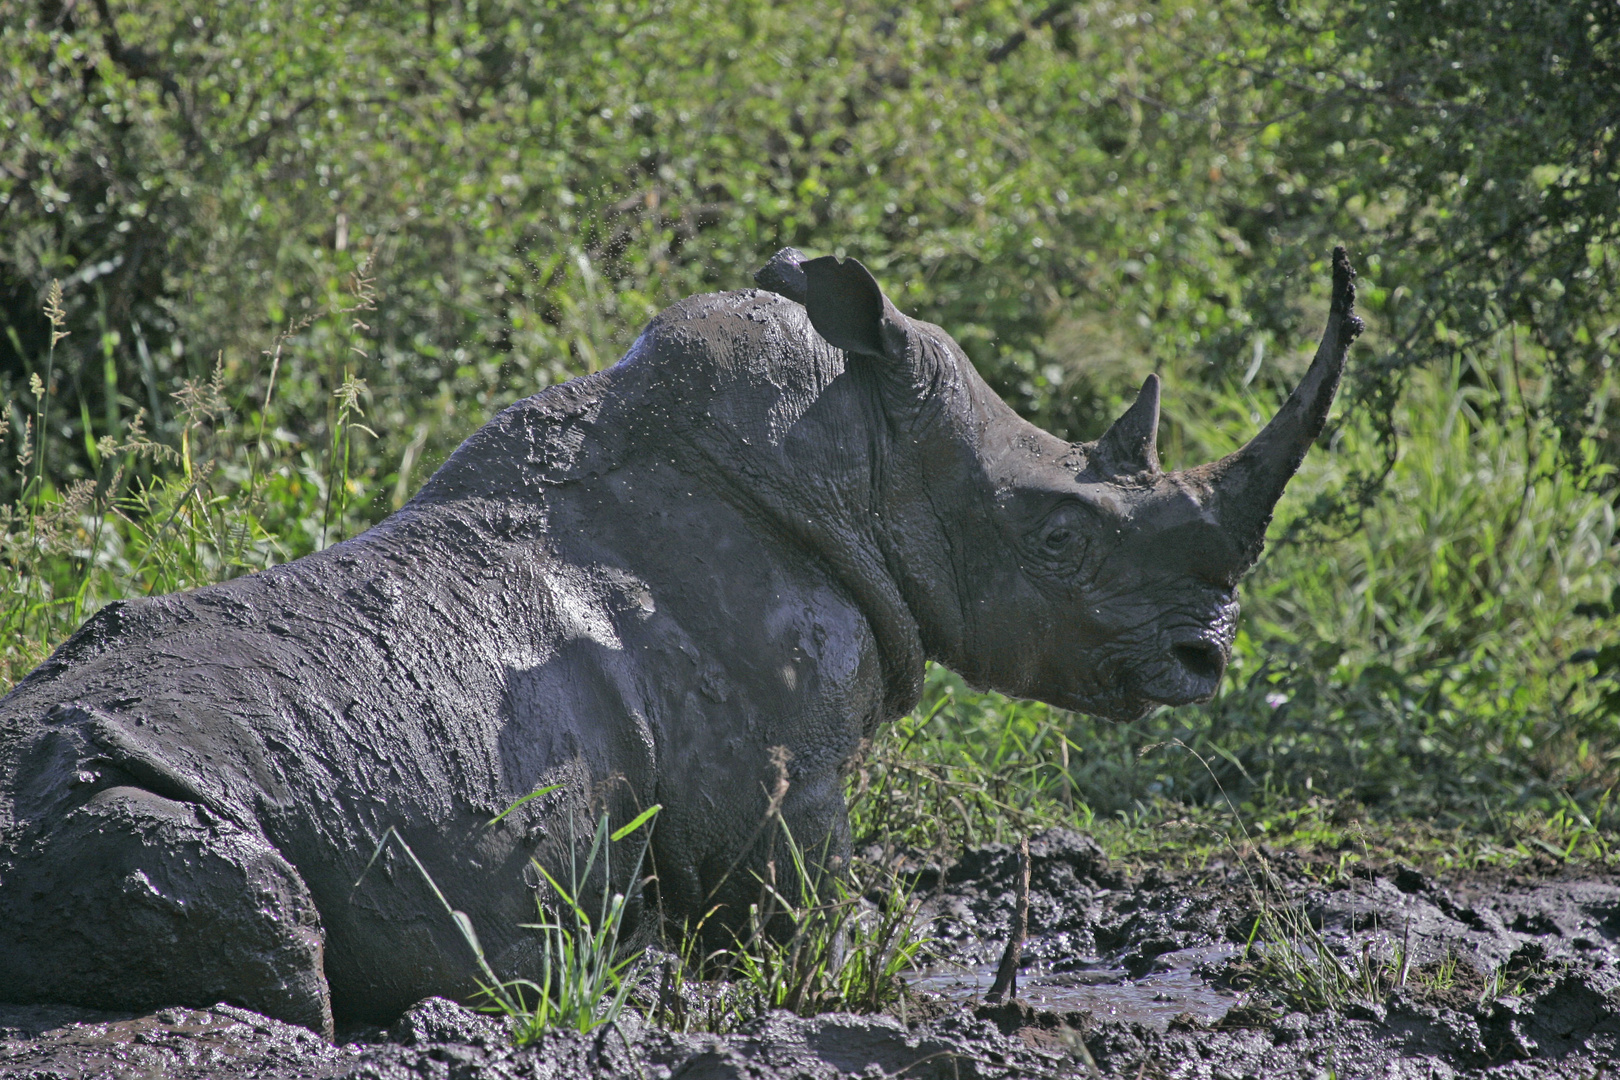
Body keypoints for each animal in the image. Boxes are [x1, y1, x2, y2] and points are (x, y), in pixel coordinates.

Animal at [0, 247, 1360, 1036]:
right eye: (1062, 542)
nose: (1206, 659)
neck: (866, 458)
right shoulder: (781, 774)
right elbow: (799, 927)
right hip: (134, 805)